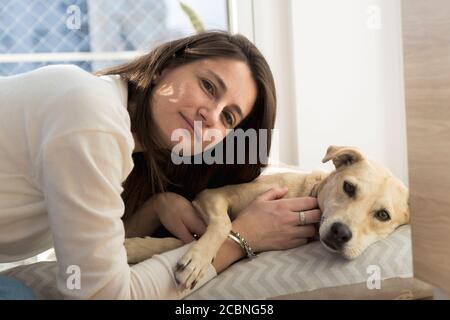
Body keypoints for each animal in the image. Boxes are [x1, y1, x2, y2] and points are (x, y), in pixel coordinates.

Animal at [125, 146, 410, 290]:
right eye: (349, 187)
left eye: (383, 215)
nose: (340, 233)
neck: (306, 191)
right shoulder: (212, 195)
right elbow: (223, 224)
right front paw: (196, 261)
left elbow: (180, 241)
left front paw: (138, 247)